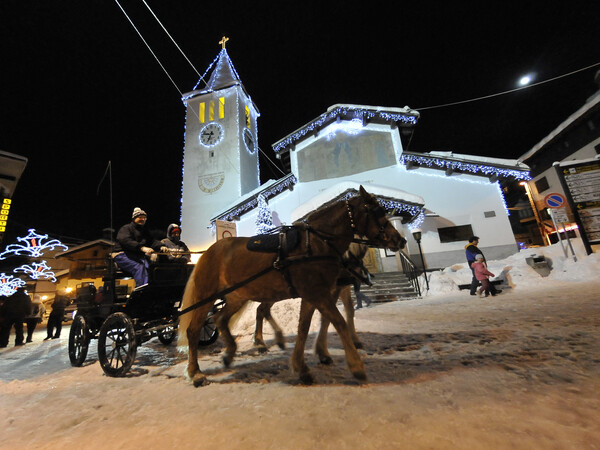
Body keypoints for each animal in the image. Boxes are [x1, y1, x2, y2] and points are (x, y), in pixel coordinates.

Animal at [177, 186, 404, 386]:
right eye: (377, 212)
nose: (400, 240)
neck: (317, 244)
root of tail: (207, 252)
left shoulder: (314, 295)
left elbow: (304, 327)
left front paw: (301, 367)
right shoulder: (318, 294)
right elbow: (338, 322)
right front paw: (356, 366)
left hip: (238, 296)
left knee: (221, 318)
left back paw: (231, 352)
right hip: (206, 297)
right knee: (194, 330)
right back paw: (195, 372)